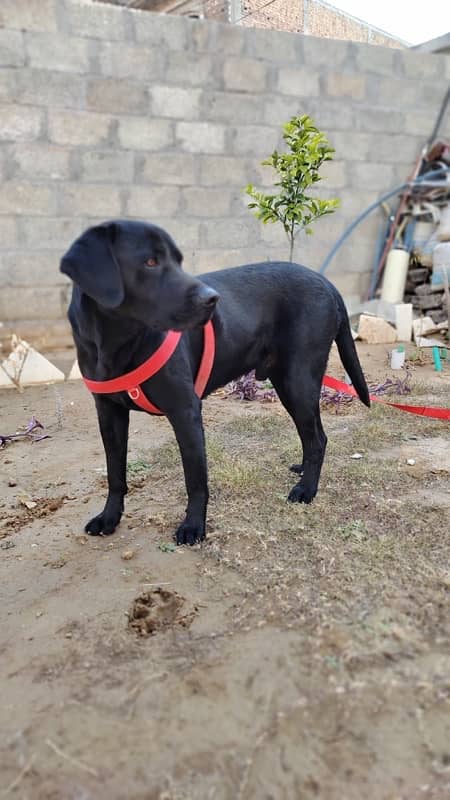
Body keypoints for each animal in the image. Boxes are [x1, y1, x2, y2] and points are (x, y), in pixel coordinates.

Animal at [60, 220, 370, 544]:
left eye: (178, 260)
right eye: (150, 262)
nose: (212, 299)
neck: (116, 343)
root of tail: (325, 281)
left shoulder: (185, 412)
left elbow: (195, 479)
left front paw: (193, 526)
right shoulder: (109, 414)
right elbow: (115, 473)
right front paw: (109, 517)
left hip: (299, 381)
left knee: (318, 439)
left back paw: (306, 489)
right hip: (286, 383)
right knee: (311, 438)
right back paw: (302, 471)